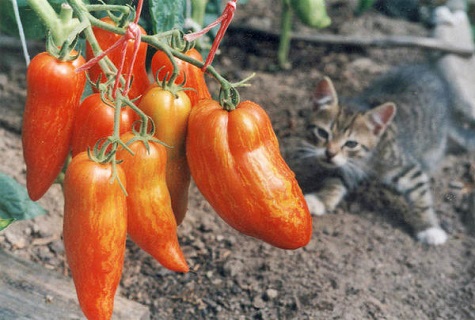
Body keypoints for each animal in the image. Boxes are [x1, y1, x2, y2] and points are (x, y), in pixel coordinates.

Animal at [290, 64, 464, 245]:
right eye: (322, 133)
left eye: (351, 144)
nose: (329, 153)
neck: (365, 158)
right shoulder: (346, 167)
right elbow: (336, 180)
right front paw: (321, 200)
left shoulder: (407, 168)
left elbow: (420, 195)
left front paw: (429, 228)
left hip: (434, 144)